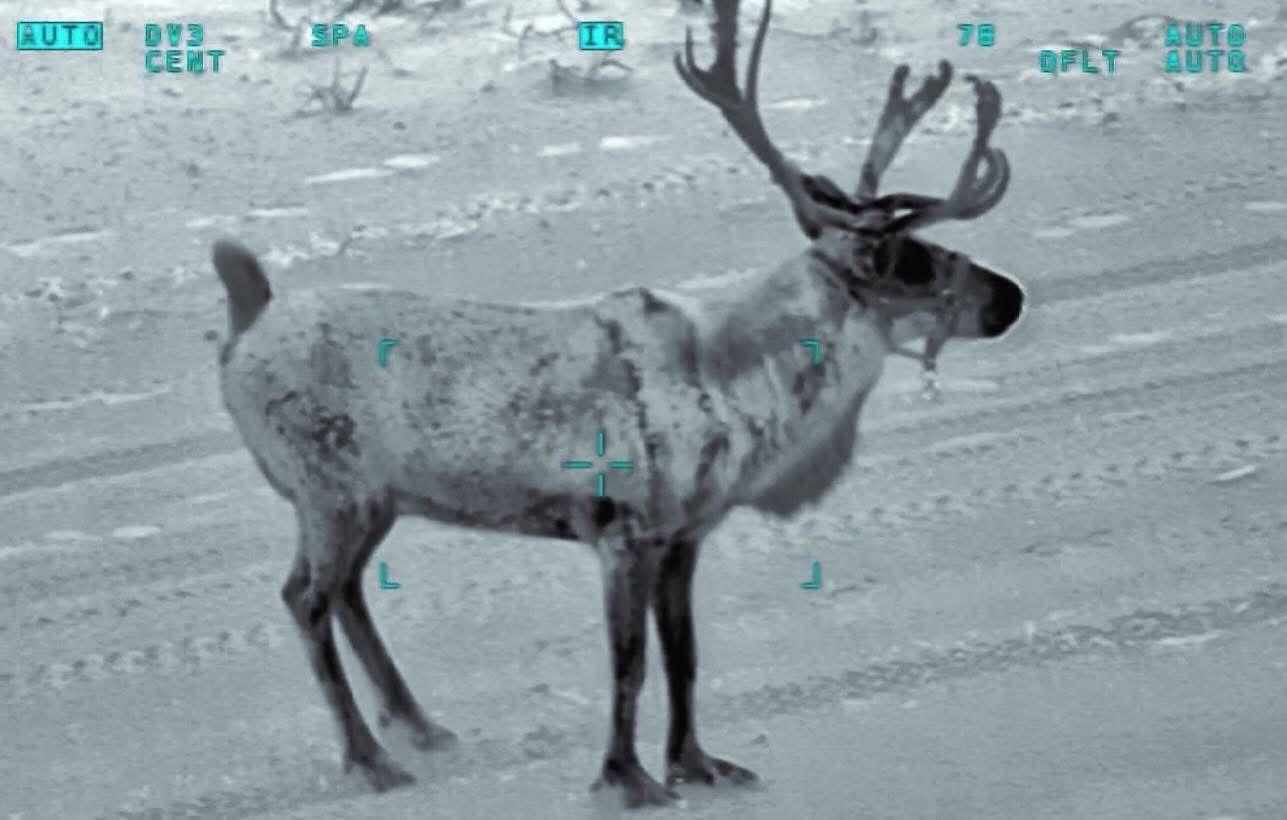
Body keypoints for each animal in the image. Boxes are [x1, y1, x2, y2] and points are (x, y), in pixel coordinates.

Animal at [212, 0, 1024, 808]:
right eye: (913, 262)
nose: (1010, 297)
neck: (737, 390)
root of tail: (245, 324)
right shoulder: (622, 531)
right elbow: (629, 663)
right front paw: (625, 777)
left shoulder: (684, 537)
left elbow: (684, 656)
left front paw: (698, 763)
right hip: (330, 491)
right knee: (304, 598)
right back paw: (371, 757)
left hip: (372, 501)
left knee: (347, 590)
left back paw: (420, 726)